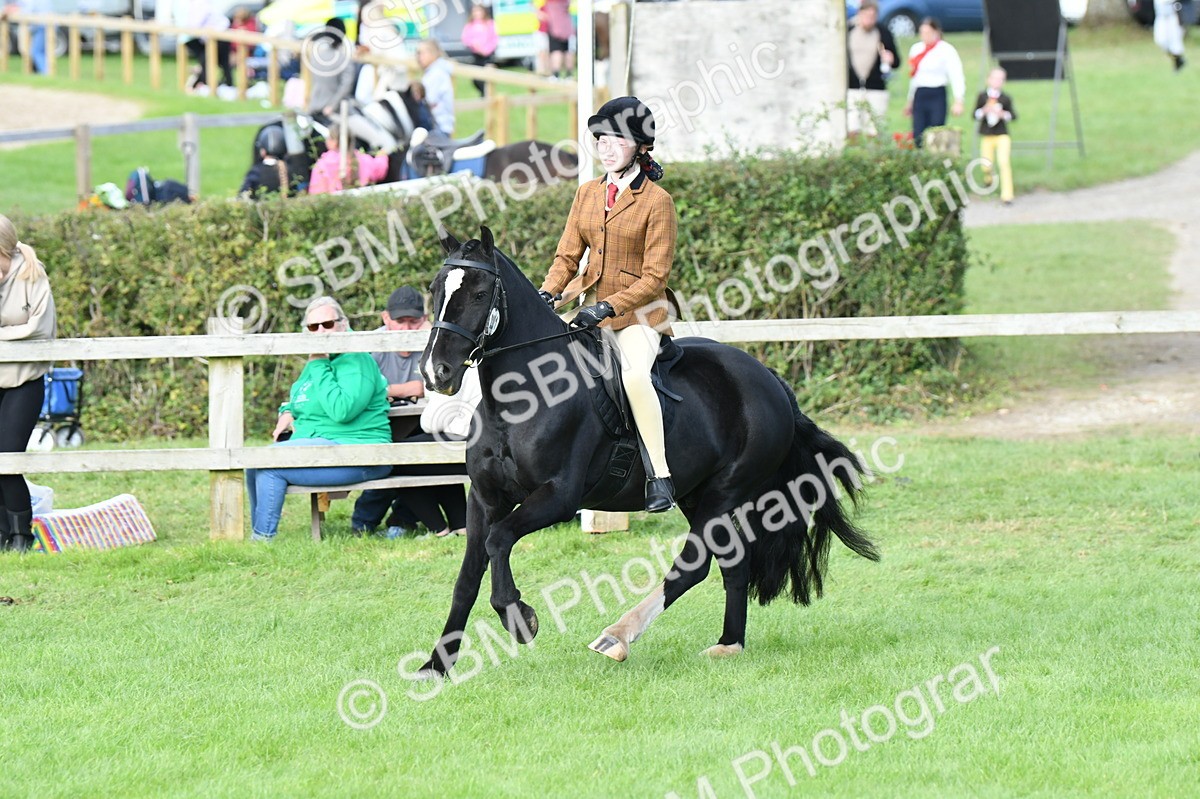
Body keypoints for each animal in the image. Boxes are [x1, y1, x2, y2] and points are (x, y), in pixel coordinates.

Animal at [416, 226, 879, 676]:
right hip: (696, 494)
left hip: (725, 491)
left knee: (694, 563)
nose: (435, 372)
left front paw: (520, 619)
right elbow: (467, 576)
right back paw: (729, 644)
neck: (524, 397)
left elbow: (500, 540)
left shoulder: (557, 498)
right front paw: (436, 666)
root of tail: (771, 381)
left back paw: (617, 637)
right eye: (436, 289)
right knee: (732, 561)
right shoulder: (484, 498)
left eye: (479, 293)